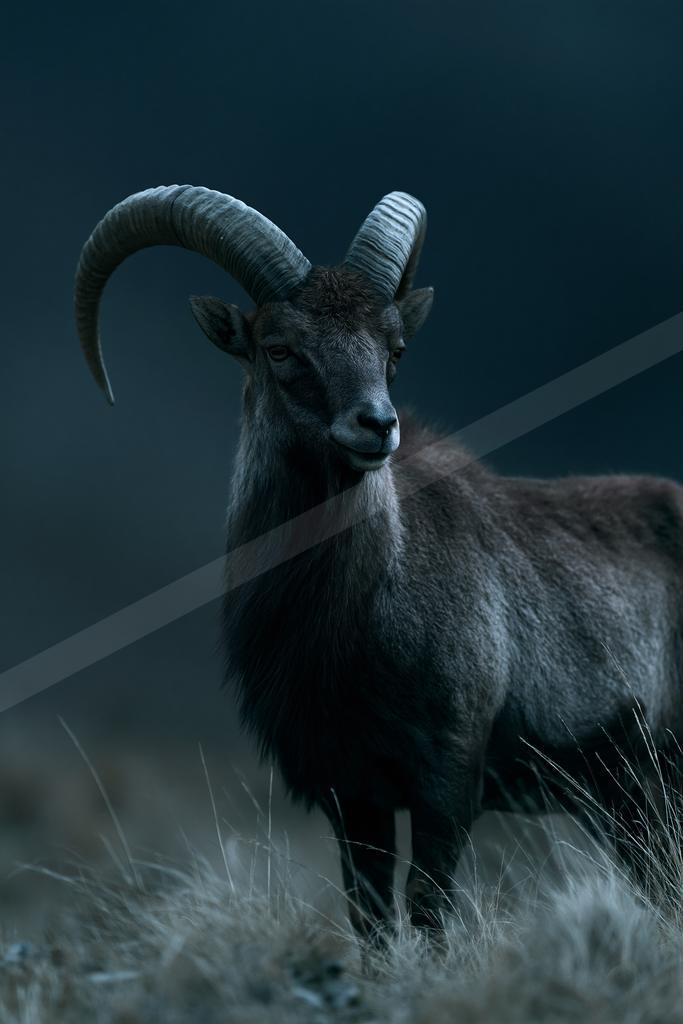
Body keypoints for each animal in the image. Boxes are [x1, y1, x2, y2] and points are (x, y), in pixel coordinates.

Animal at [75, 185, 683, 939]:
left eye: (393, 348)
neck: (353, 615)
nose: (376, 426)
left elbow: (426, 908)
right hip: (633, 804)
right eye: (279, 348)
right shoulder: (350, 794)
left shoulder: (447, 779)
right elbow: (369, 917)